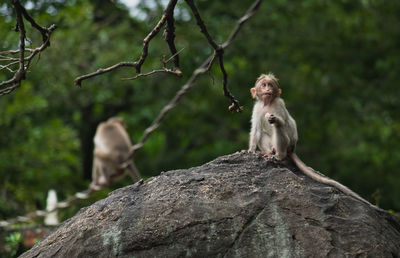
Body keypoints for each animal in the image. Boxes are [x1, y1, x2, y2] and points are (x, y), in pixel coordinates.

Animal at [247, 73, 378, 210]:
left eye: (270, 85)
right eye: (264, 85)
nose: (268, 89)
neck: (267, 104)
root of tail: (291, 149)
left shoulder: (279, 103)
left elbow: (283, 122)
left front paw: (274, 119)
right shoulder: (257, 108)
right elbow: (256, 130)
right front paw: (250, 150)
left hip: (288, 144)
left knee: (279, 128)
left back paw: (279, 156)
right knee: (262, 133)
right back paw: (268, 153)